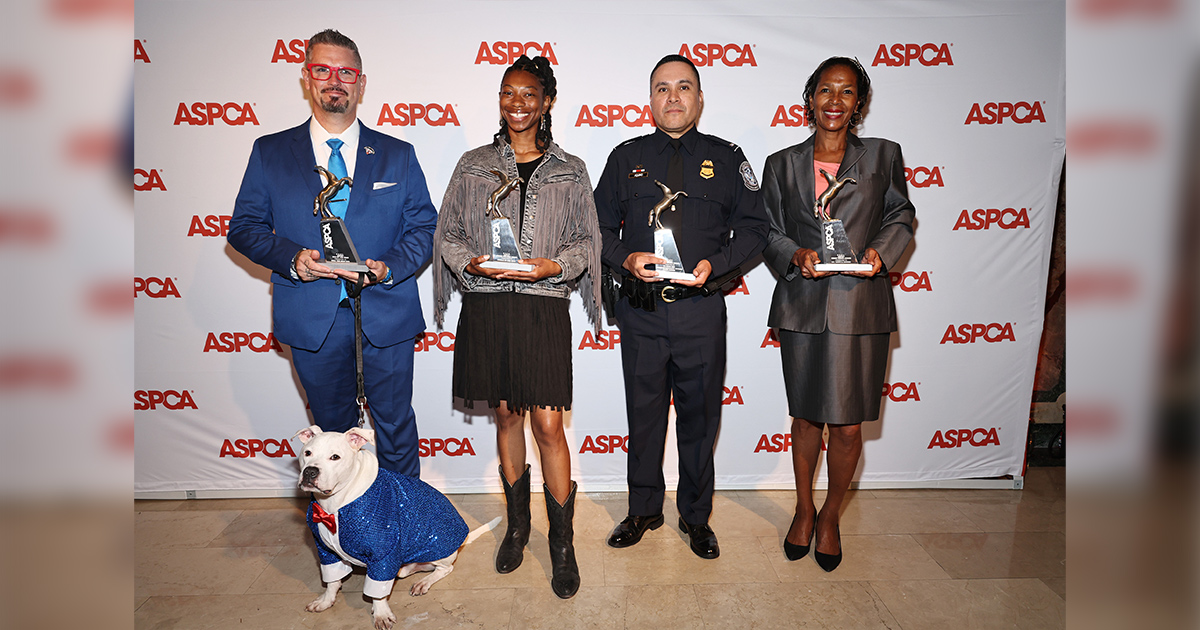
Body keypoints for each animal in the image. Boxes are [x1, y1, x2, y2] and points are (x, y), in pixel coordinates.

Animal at [296, 424, 501, 624]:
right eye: (307, 453)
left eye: (335, 457)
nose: (310, 471)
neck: (334, 505)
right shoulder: (325, 549)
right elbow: (332, 580)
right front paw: (326, 600)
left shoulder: (383, 554)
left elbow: (377, 591)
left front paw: (380, 613)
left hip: (439, 550)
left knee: (445, 568)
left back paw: (424, 581)